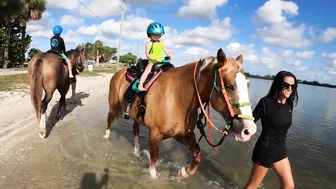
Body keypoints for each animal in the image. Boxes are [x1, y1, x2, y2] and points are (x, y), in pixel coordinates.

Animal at [105, 48, 258, 179]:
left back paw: (136, 152)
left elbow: (198, 155)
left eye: (248, 85)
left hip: (136, 116)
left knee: (135, 130)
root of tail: (120, 72)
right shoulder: (155, 134)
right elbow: (153, 164)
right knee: (110, 119)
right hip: (113, 106)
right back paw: (106, 136)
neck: (176, 97)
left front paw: (183, 172)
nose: (249, 130)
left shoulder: (184, 135)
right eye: (229, 86)